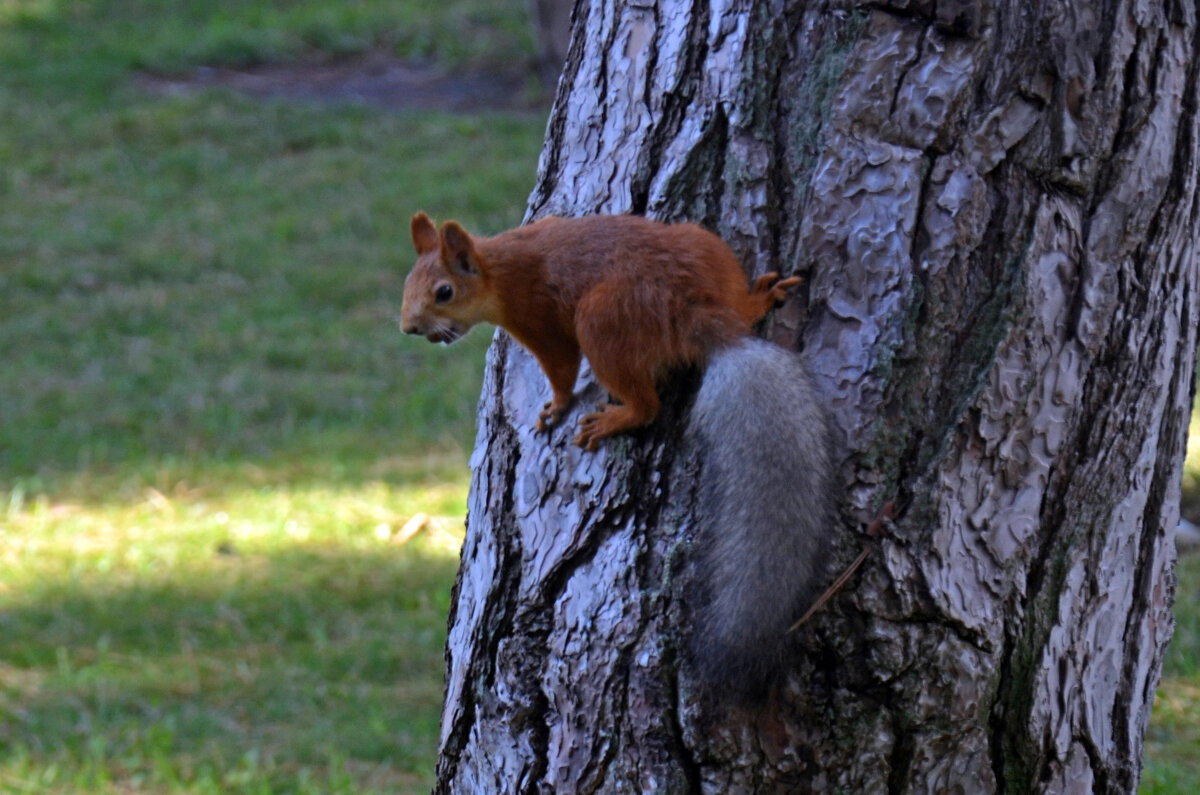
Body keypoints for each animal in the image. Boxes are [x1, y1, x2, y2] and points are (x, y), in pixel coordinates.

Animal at [400, 213, 835, 706]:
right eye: (409, 282)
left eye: (444, 292)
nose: (408, 326)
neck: (501, 266)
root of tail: (698, 317)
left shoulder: (539, 321)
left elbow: (561, 370)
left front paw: (555, 406)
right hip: (704, 246)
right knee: (736, 310)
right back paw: (757, 299)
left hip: (602, 322)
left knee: (647, 405)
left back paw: (615, 419)